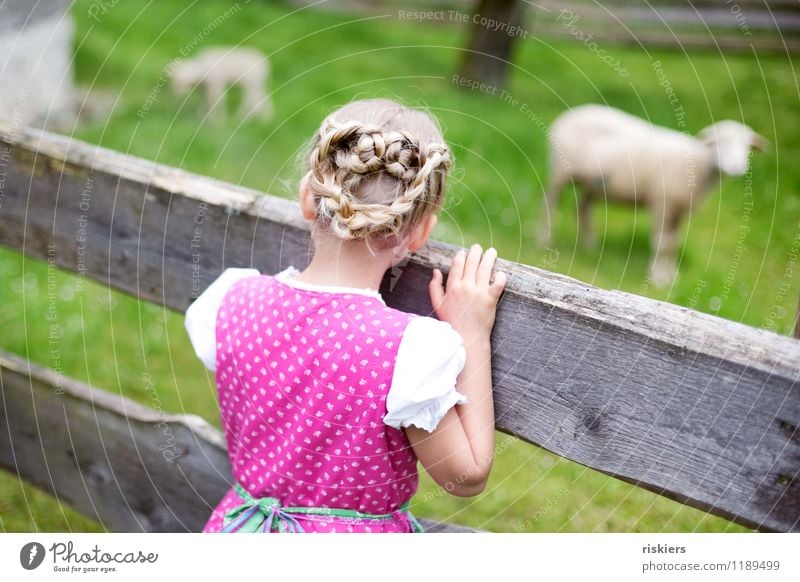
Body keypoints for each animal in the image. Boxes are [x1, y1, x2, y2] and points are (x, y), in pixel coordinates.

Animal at [536, 105, 768, 290]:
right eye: (719, 142)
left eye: (747, 146)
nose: (737, 168)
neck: (700, 163)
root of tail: (568, 114)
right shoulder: (662, 203)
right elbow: (661, 244)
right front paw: (658, 279)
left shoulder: (678, 210)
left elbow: (673, 244)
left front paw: (672, 276)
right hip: (559, 172)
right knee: (548, 205)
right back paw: (545, 240)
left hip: (593, 183)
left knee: (582, 209)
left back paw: (590, 245)